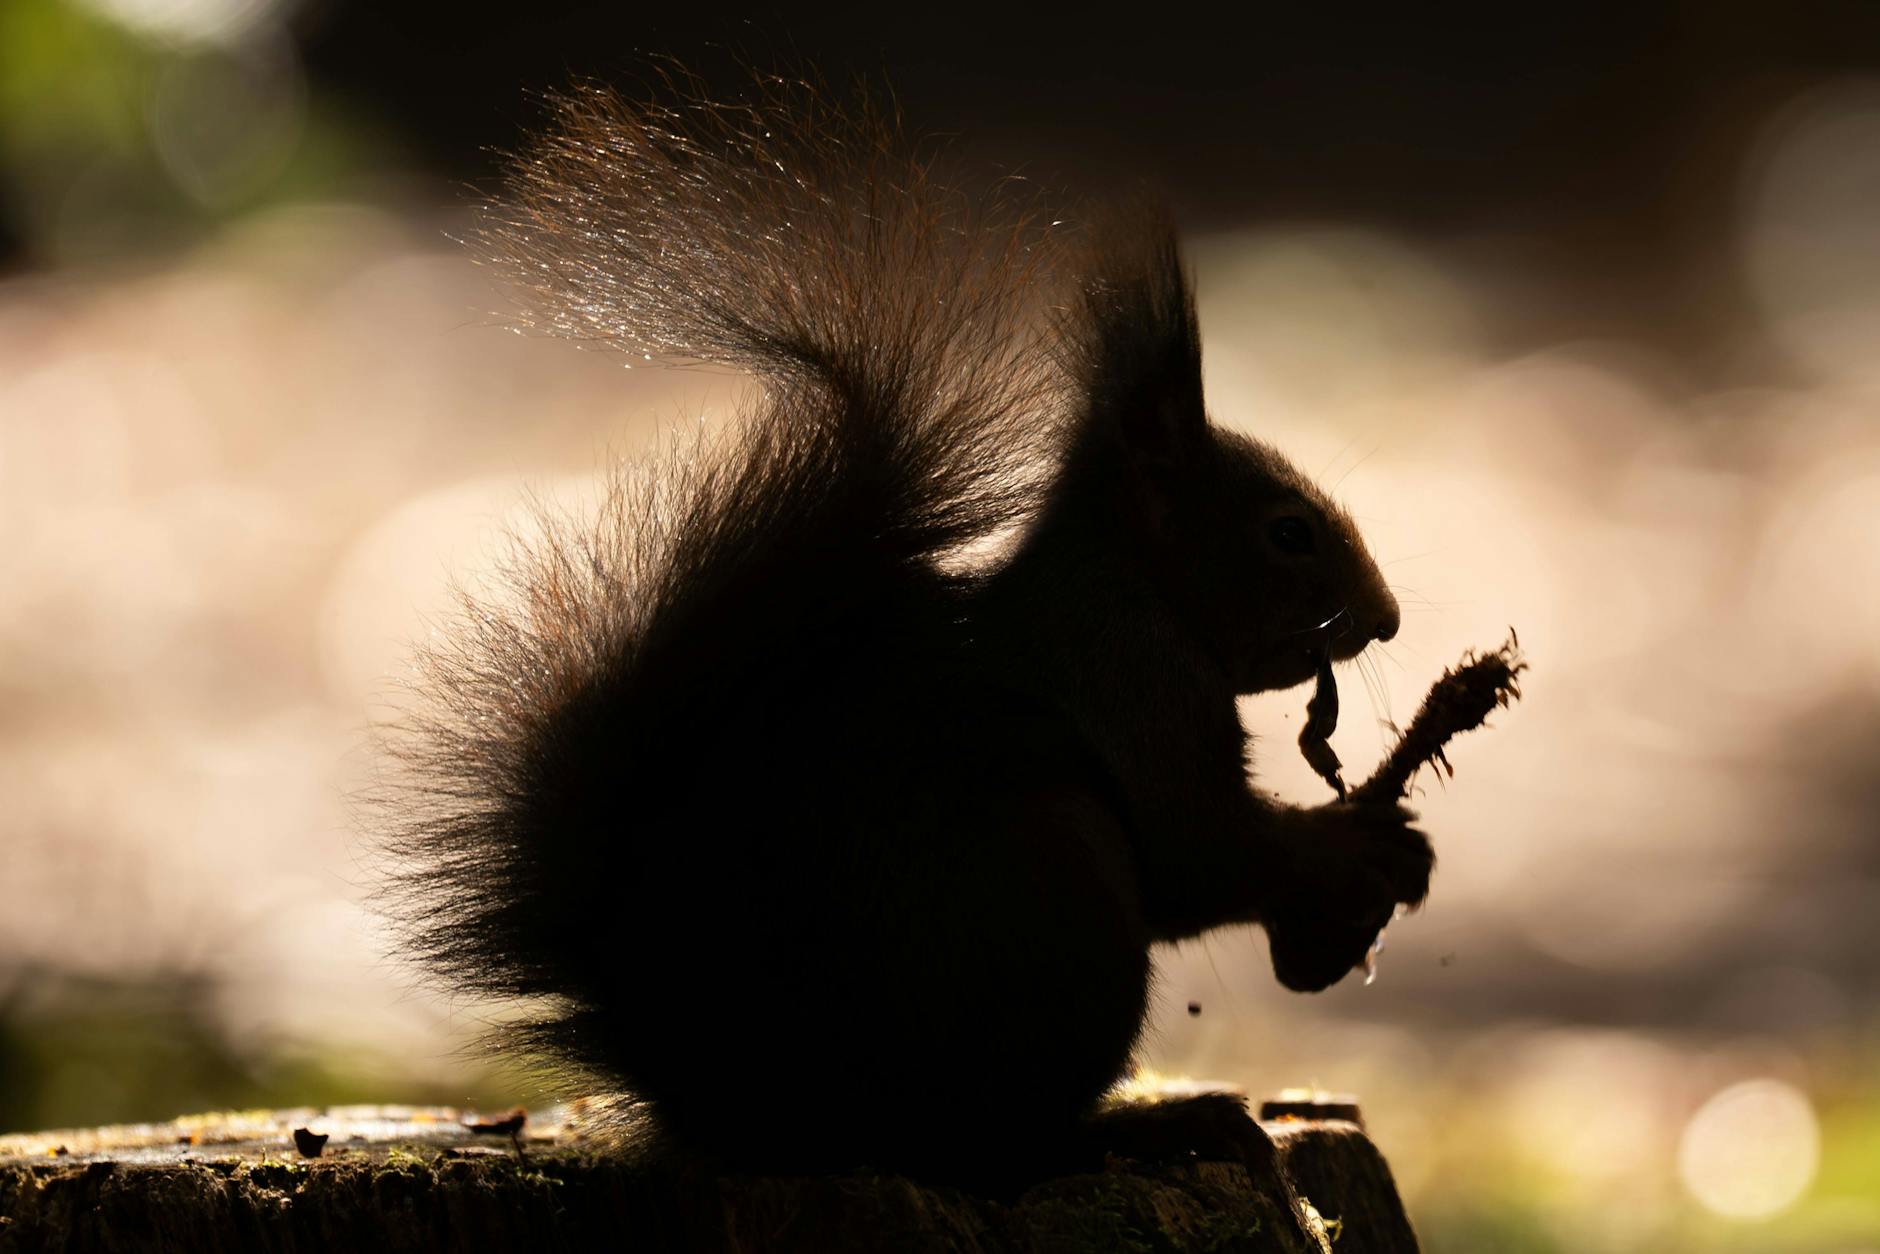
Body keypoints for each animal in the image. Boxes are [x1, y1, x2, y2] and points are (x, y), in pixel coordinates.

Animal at [374, 72, 1432, 1184]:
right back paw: (1152, 1125)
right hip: (1046, 900)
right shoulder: (1131, 682)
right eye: (1288, 532)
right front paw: (1357, 847)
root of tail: (727, 1089)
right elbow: (1196, 847)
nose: (1386, 619)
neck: (1130, 585)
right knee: (994, 1143)